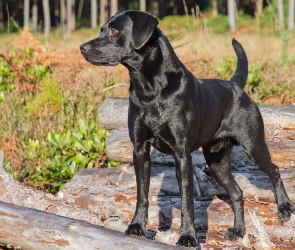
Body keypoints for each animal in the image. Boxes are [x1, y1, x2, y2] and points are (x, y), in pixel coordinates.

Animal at [80, 10, 294, 248]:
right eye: (102, 29)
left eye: (114, 30)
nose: (82, 47)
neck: (149, 88)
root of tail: (235, 86)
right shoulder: (140, 149)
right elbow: (142, 193)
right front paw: (137, 226)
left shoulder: (182, 154)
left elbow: (186, 201)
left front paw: (188, 237)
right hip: (216, 160)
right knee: (237, 192)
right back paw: (237, 230)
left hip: (253, 144)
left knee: (274, 170)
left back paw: (284, 209)